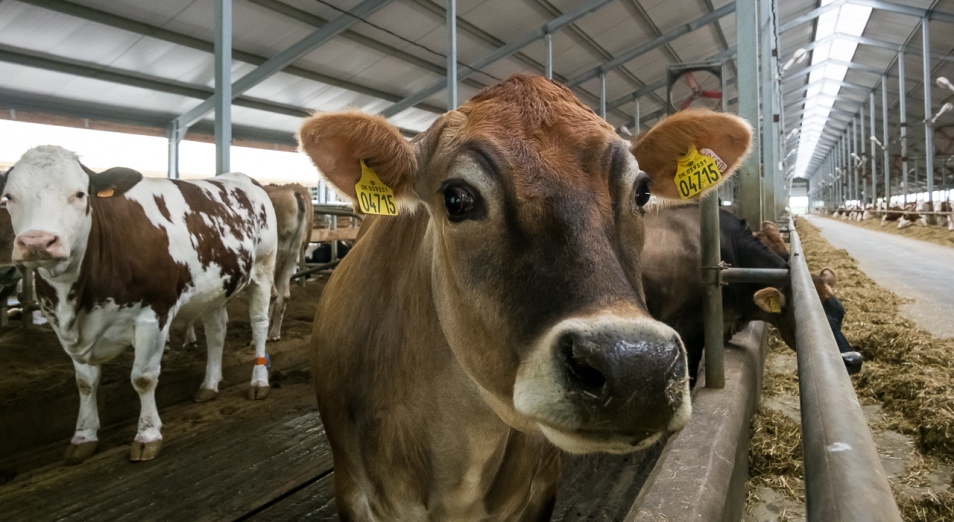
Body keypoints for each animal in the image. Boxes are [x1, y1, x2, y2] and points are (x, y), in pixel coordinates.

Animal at [2, 145, 278, 460]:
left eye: (80, 194)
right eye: (8, 197)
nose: (37, 242)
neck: (78, 299)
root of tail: (242, 177)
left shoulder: (154, 313)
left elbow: (143, 378)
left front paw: (147, 435)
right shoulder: (65, 328)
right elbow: (85, 383)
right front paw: (83, 437)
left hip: (264, 267)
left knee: (259, 323)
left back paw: (259, 381)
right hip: (216, 286)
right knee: (217, 330)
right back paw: (209, 385)